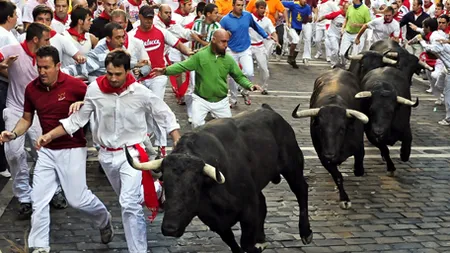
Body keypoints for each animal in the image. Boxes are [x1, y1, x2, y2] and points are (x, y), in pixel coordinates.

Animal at [125, 103, 312, 253]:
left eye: (193, 188)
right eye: (166, 184)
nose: (170, 228)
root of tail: (269, 111)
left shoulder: (248, 210)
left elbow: (246, 243)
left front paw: (257, 247)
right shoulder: (214, 221)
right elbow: (233, 243)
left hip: (293, 165)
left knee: (301, 190)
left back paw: (305, 233)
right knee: (264, 202)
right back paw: (261, 238)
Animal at [292, 69, 370, 210]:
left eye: (342, 129)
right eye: (320, 128)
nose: (330, 154)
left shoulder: (359, 148)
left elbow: (359, 168)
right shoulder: (322, 156)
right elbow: (337, 176)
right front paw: (344, 199)